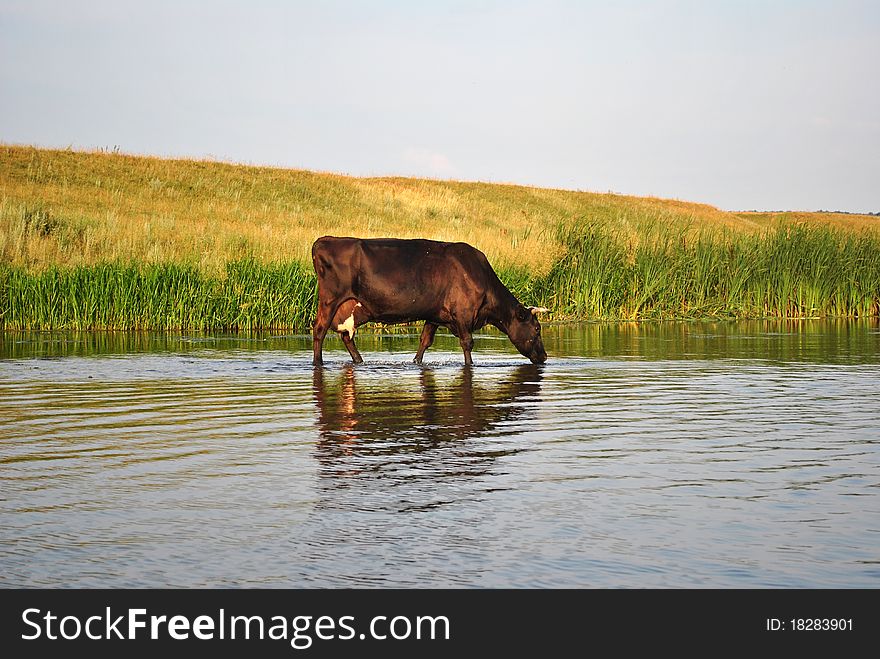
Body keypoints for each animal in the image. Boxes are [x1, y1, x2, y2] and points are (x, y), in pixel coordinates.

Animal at [308, 238, 544, 366]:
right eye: (537, 328)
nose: (544, 356)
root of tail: (324, 240)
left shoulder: (435, 315)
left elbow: (425, 341)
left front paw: (415, 362)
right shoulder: (463, 314)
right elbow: (467, 343)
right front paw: (470, 365)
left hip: (353, 309)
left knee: (346, 336)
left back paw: (359, 361)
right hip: (330, 299)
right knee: (319, 329)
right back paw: (318, 362)